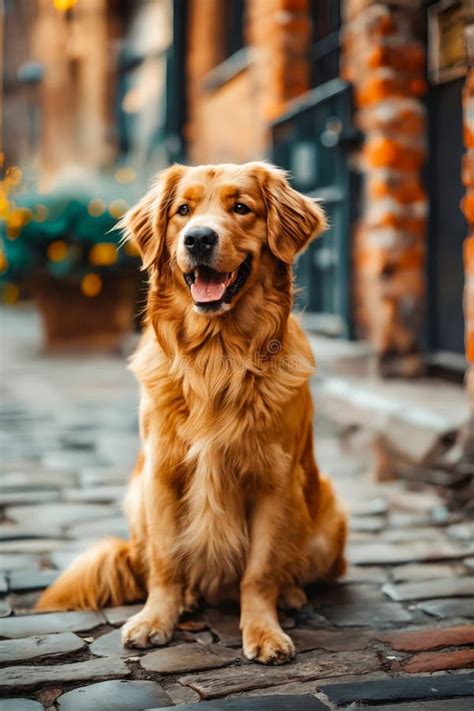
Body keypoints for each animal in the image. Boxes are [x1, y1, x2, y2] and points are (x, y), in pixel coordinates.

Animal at [37, 164, 346, 664]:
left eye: (241, 207)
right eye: (183, 210)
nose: (199, 238)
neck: (216, 358)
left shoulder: (274, 481)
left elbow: (260, 570)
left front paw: (263, 630)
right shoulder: (162, 474)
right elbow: (166, 562)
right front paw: (156, 618)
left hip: (328, 518)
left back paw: (291, 595)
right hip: (136, 499)